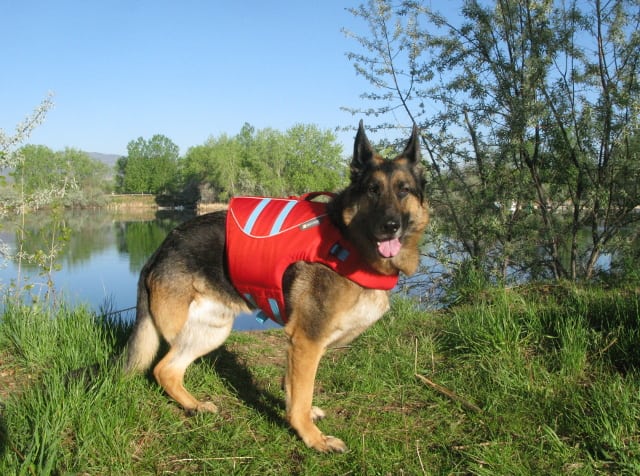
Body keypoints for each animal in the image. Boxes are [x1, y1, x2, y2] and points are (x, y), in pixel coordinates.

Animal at [123, 121, 428, 452]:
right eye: (373, 190)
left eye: (403, 190)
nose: (390, 226)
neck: (349, 241)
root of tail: (162, 248)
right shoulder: (307, 340)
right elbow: (301, 396)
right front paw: (313, 439)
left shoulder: (303, 343)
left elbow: (294, 388)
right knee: (161, 368)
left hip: (211, 331)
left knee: (166, 370)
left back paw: (195, 406)